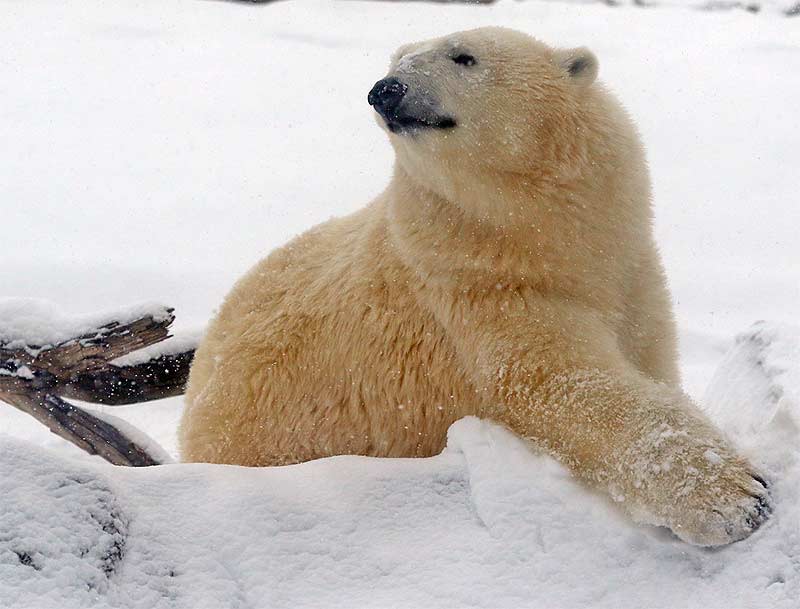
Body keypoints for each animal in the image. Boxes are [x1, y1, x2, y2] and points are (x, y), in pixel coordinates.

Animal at [180, 27, 768, 548]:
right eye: (397, 58)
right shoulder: (472, 284)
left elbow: (645, 360)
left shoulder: (629, 268)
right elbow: (556, 379)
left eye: (463, 56)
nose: (386, 89)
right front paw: (737, 499)